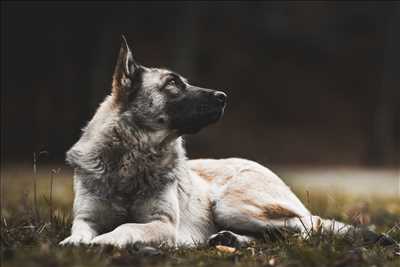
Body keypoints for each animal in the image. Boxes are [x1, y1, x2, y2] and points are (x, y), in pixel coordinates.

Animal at [59, 36, 396, 248]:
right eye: (172, 83)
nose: (223, 96)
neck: (132, 155)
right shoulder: (87, 217)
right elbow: (80, 229)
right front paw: (76, 241)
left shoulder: (162, 224)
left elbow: (126, 227)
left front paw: (104, 241)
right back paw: (229, 240)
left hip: (231, 205)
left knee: (303, 229)